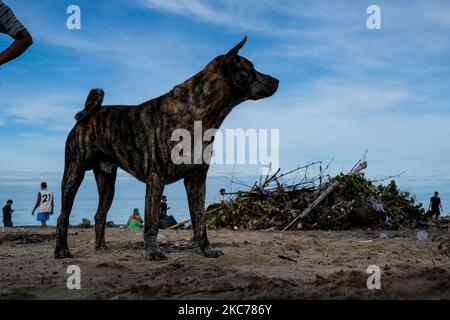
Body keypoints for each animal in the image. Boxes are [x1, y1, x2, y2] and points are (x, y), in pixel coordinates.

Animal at [53, 37, 278, 260]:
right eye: (251, 68)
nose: (276, 80)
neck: (198, 113)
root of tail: (88, 114)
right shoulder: (156, 178)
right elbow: (152, 221)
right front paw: (152, 252)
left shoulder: (196, 179)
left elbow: (199, 221)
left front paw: (206, 249)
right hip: (74, 172)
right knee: (62, 216)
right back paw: (61, 249)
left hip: (107, 182)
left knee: (100, 215)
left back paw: (101, 247)